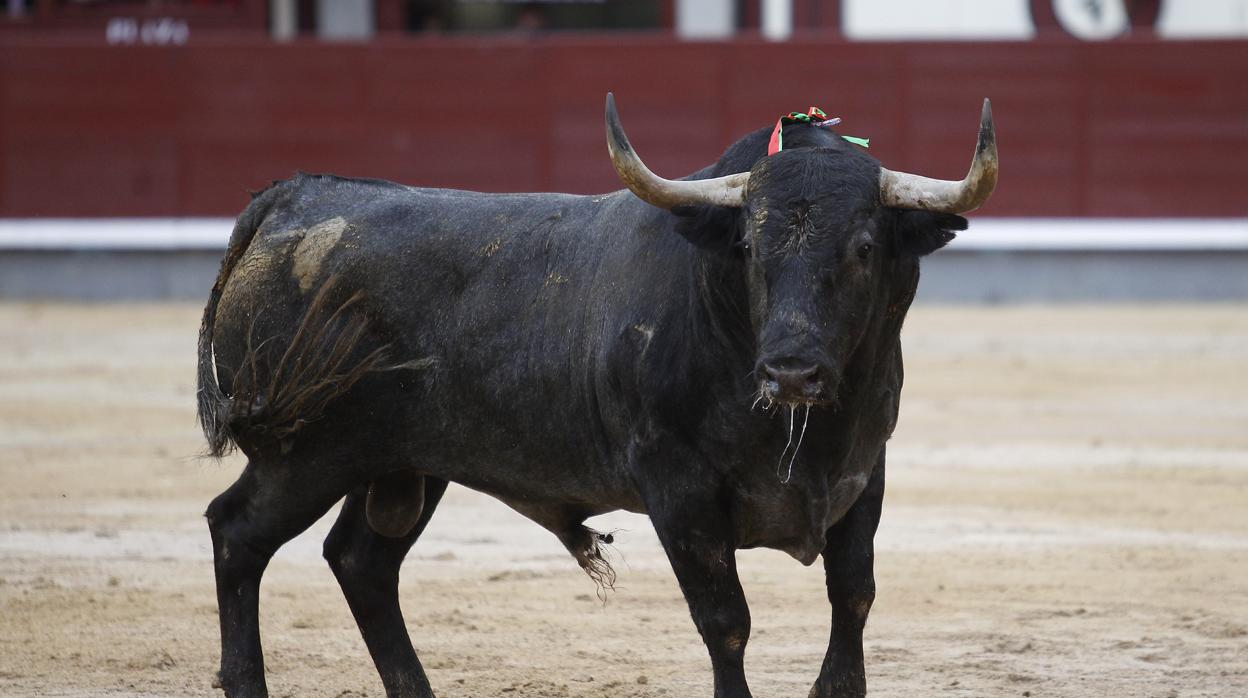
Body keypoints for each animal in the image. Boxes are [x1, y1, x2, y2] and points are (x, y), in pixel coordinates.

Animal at [202, 94, 1003, 698]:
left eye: (865, 247)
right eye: (749, 247)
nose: (791, 374)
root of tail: (294, 196)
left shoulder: (864, 472)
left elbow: (853, 597)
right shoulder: (678, 489)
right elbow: (726, 620)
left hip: (406, 462)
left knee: (361, 562)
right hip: (306, 454)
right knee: (238, 534)